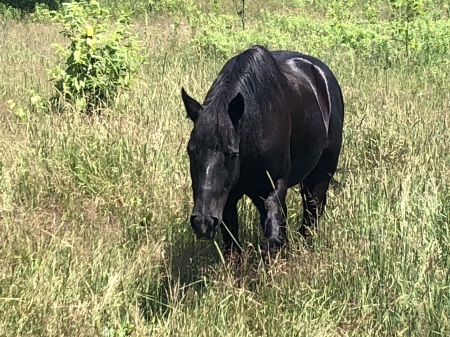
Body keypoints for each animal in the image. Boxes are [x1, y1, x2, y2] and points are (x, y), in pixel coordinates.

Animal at [181, 46, 342, 253]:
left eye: (232, 154)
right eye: (191, 151)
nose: (203, 222)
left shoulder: (273, 187)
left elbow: (273, 239)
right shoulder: (229, 199)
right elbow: (233, 245)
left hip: (321, 175)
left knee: (311, 214)